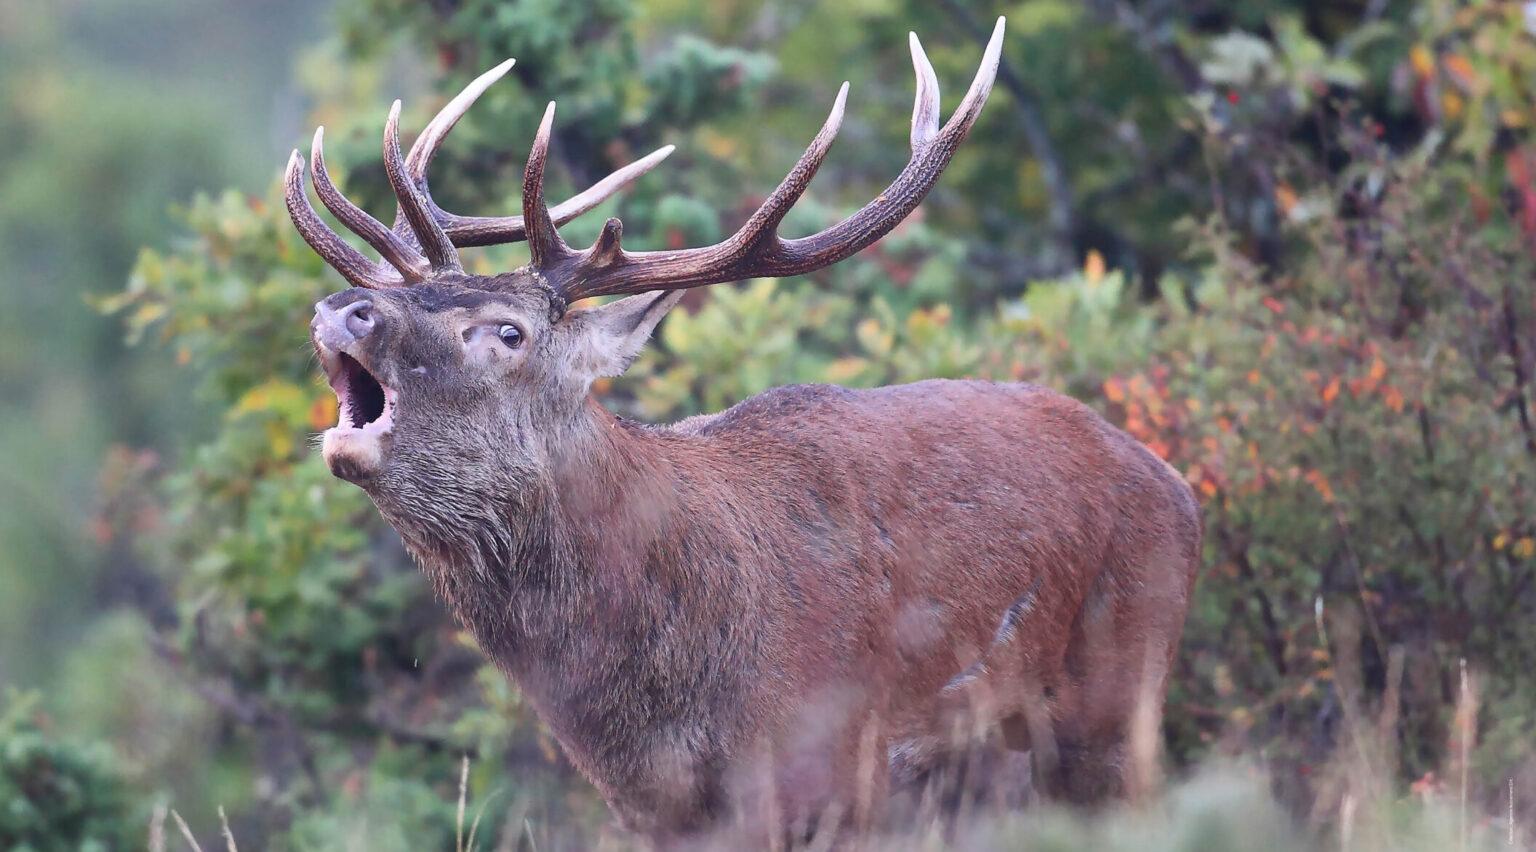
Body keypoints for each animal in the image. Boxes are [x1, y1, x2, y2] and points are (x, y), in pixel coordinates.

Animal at [284, 17, 1200, 845]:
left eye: (508, 331)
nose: (344, 307)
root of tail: (1179, 489)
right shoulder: (658, 817)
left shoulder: (829, 772)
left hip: (1119, 694)